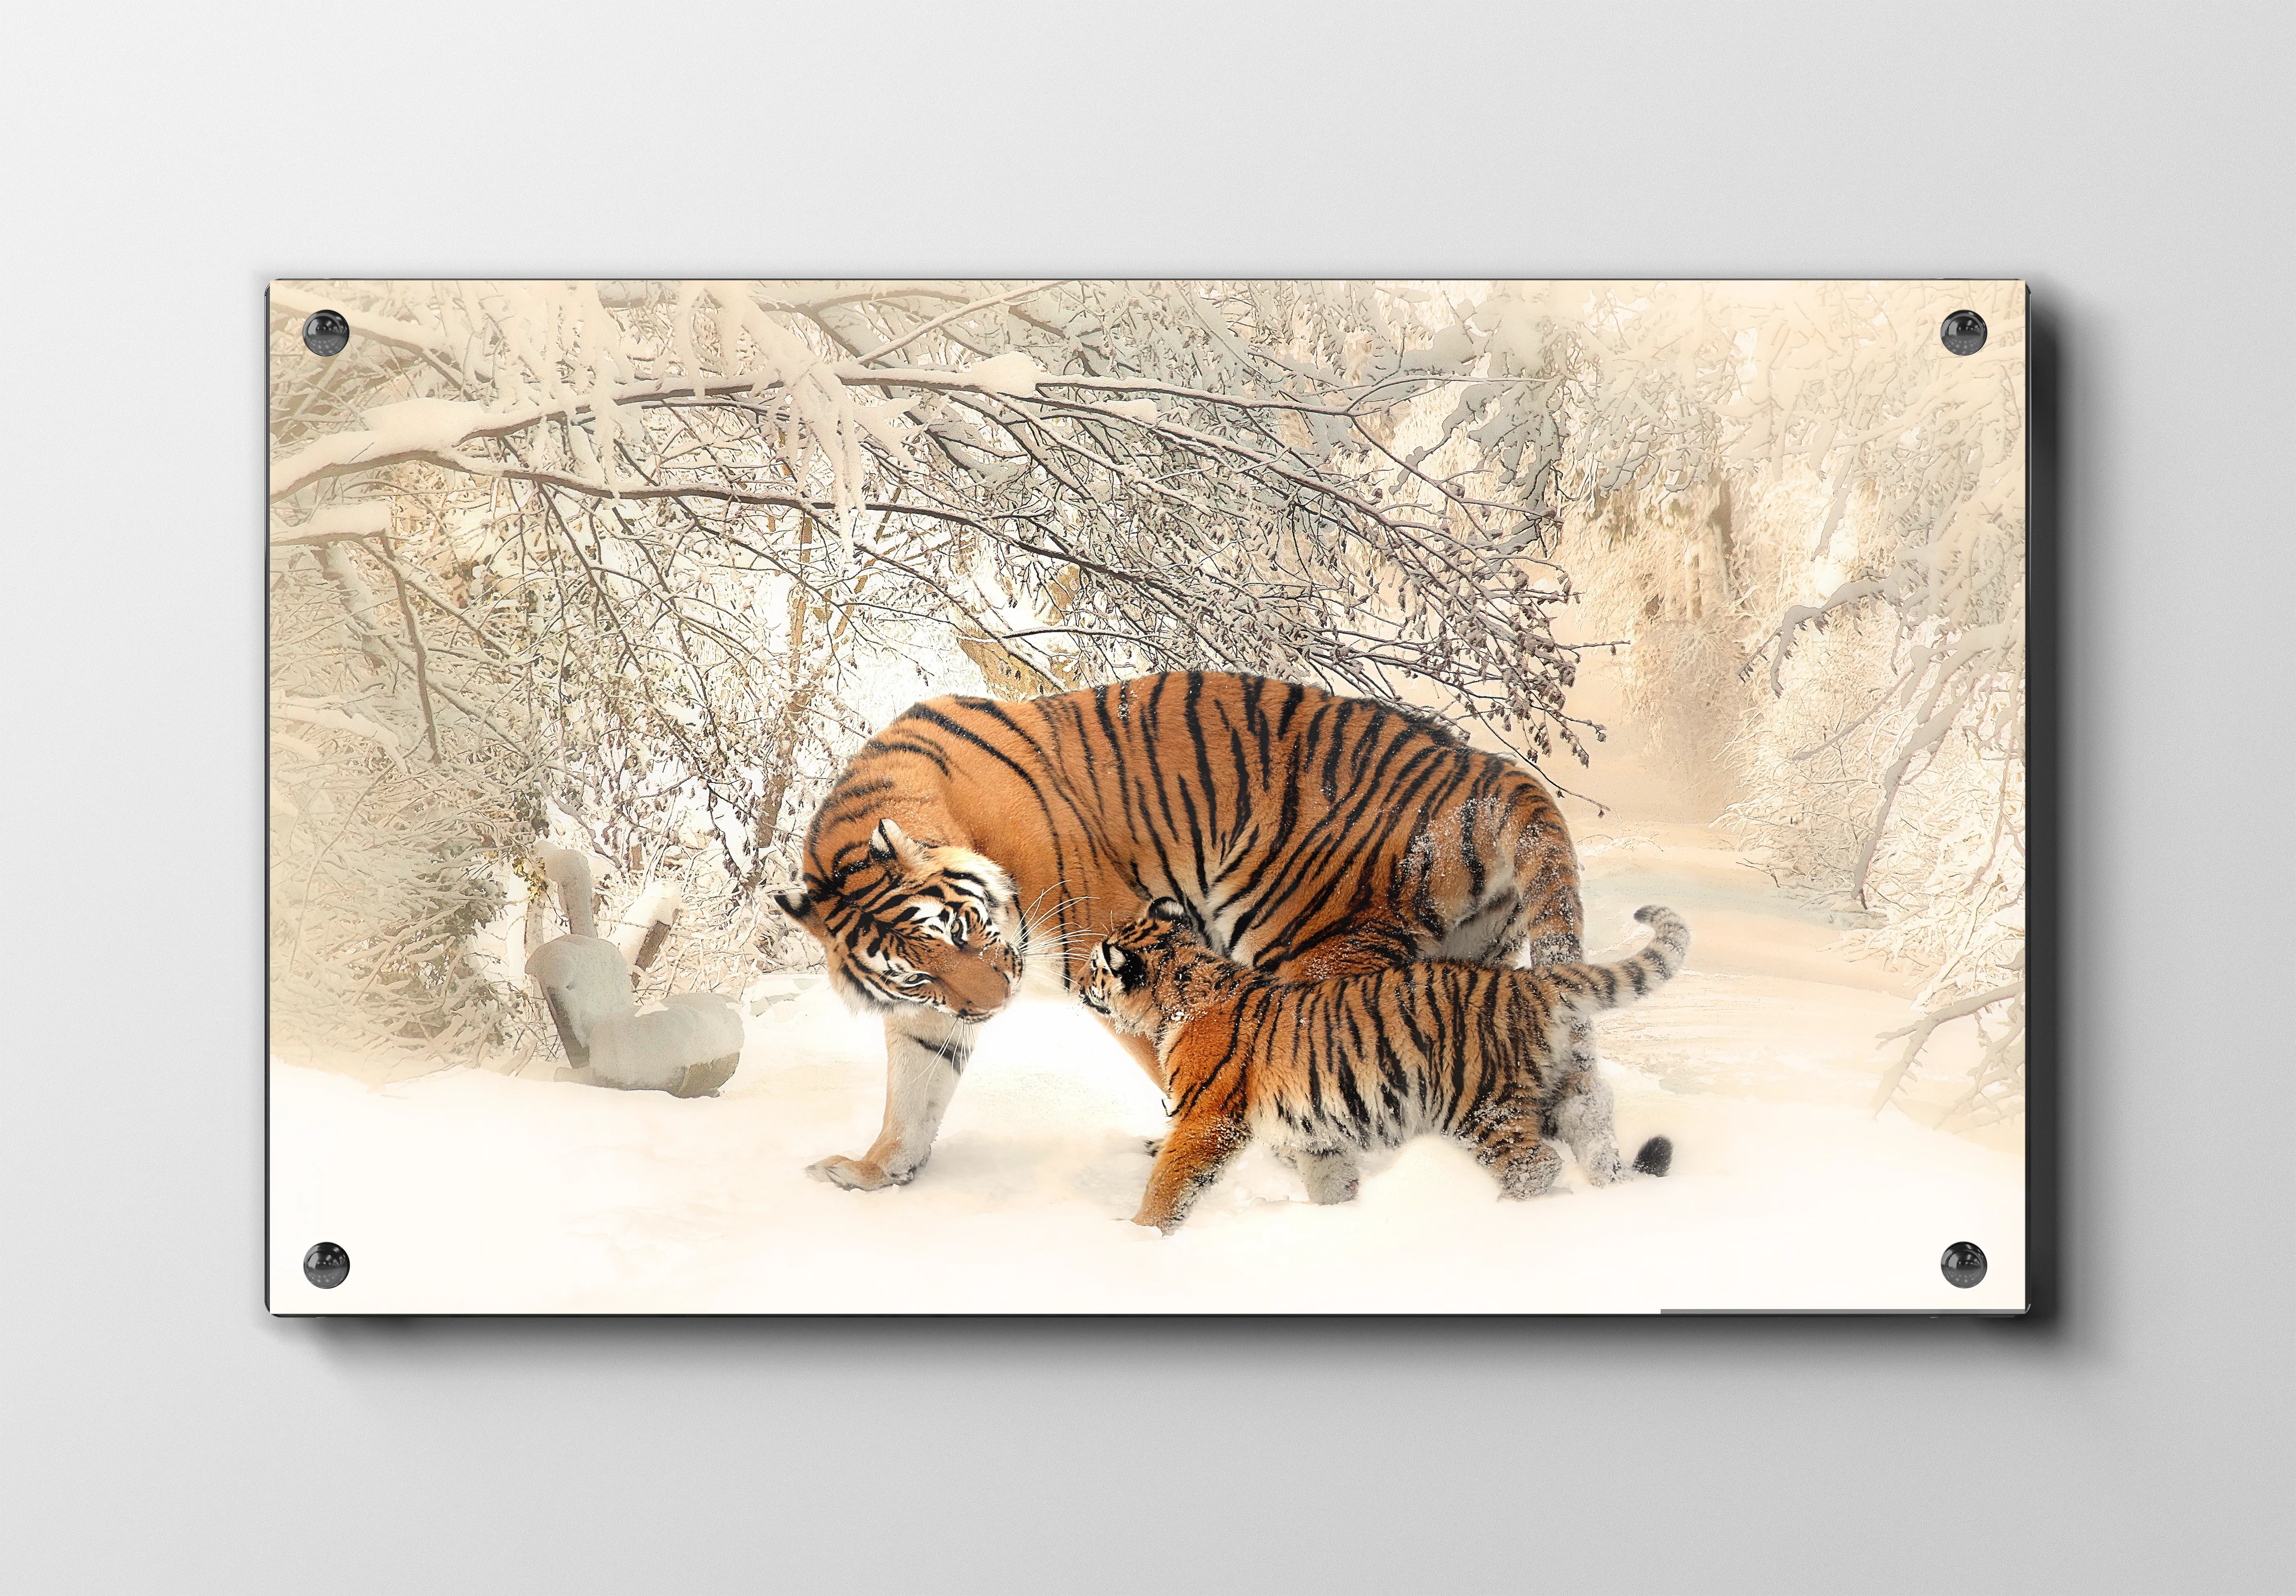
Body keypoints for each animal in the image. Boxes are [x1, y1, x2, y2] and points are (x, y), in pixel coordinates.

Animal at [773, 671, 1585, 1192]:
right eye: (918, 971)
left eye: (967, 929)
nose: (992, 1006)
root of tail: (1486, 768)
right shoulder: (927, 1013)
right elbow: (914, 1092)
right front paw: (875, 1172)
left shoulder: (1110, 947)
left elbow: (1181, 1065)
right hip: (1464, 962)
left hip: (1311, 944)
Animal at [1080, 898, 1688, 1232]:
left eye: (1095, 967)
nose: (1081, 983)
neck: (1183, 988)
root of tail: (1529, 980)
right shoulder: (1316, 1130)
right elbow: (1330, 1181)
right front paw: (1338, 1221)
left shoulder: (1207, 1118)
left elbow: (1170, 1182)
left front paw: (1138, 1235)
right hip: (1561, 1093)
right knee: (1596, 1139)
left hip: (1481, 1105)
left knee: (1534, 1166)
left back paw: (1499, 1213)